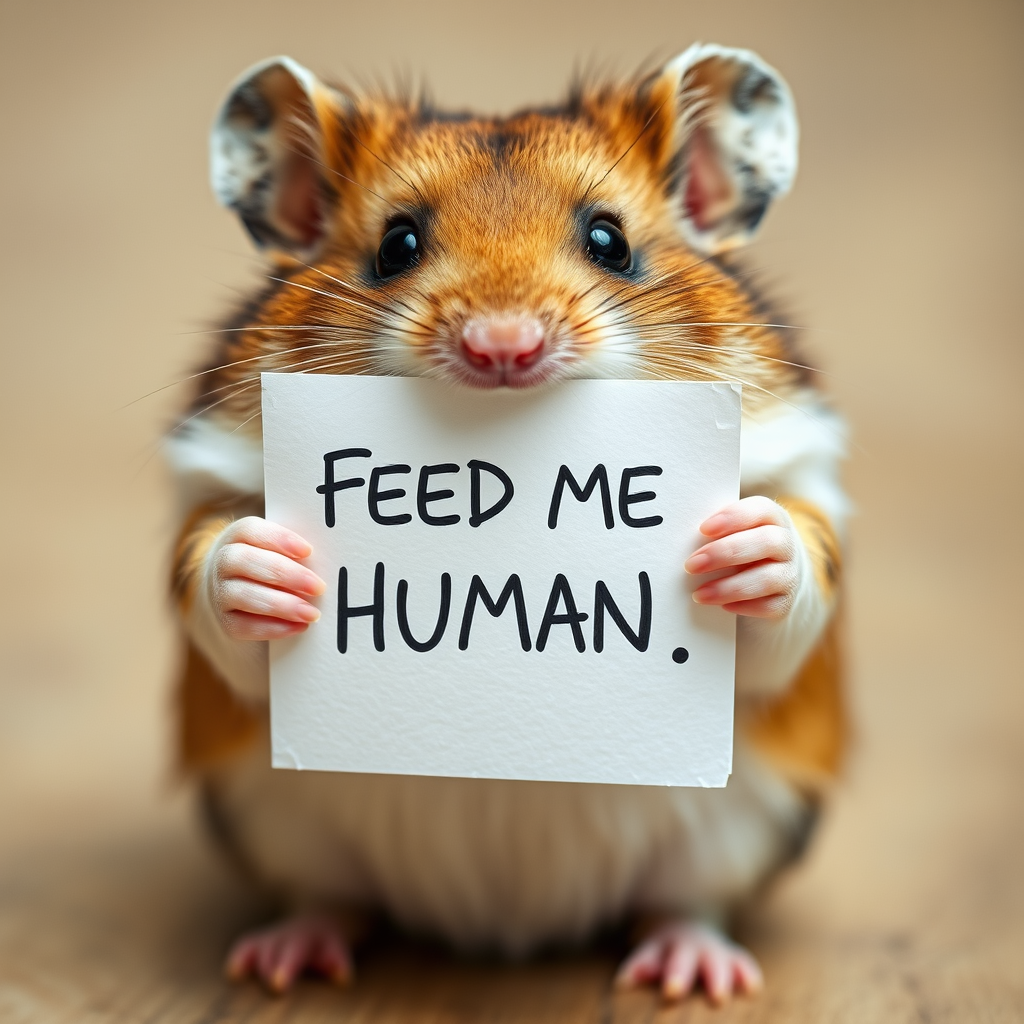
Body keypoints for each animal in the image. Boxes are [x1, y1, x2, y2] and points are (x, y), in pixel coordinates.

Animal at [166, 43, 848, 1005]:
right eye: (396, 245)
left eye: (610, 241)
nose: (502, 347)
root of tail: (503, 926)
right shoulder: (205, 501)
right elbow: (209, 571)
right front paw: (271, 567)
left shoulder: (807, 512)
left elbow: (796, 577)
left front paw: (742, 549)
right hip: (273, 821)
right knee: (326, 897)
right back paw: (282, 961)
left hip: (740, 833)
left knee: (689, 903)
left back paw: (693, 976)